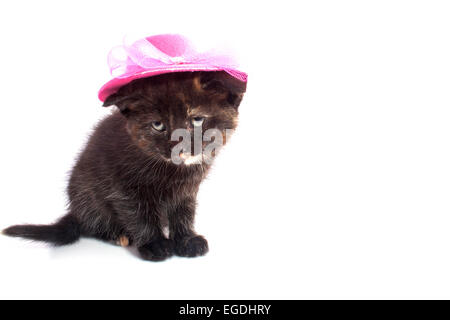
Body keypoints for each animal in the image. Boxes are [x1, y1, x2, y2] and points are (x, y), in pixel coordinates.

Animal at [3, 71, 246, 262]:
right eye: (158, 125)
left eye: (197, 119)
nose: (180, 147)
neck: (174, 171)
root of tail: (75, 211)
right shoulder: (124, 188)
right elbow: (140, 215)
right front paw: (155, 244)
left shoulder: (187, 189)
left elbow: (184, 211)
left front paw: (186, 239)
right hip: (87, 194)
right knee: (95, 223)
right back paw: (118, 235)